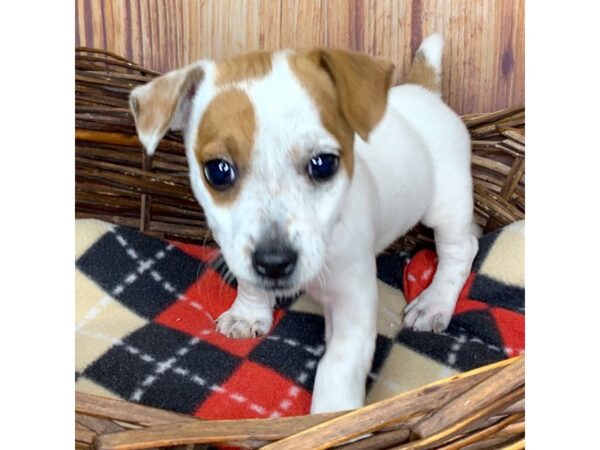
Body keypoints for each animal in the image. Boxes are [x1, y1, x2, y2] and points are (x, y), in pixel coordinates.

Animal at [130, 34, 478, 414]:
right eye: (218, 171)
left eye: (323, 164)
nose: (274, 262)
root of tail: (424, 90)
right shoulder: (238, 250)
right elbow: (249, 281)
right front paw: (248, 313)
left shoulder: (354, 300)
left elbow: (338, 365)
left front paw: (332, 415)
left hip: (447, 205)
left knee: (462, 250)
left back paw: (435, 302)